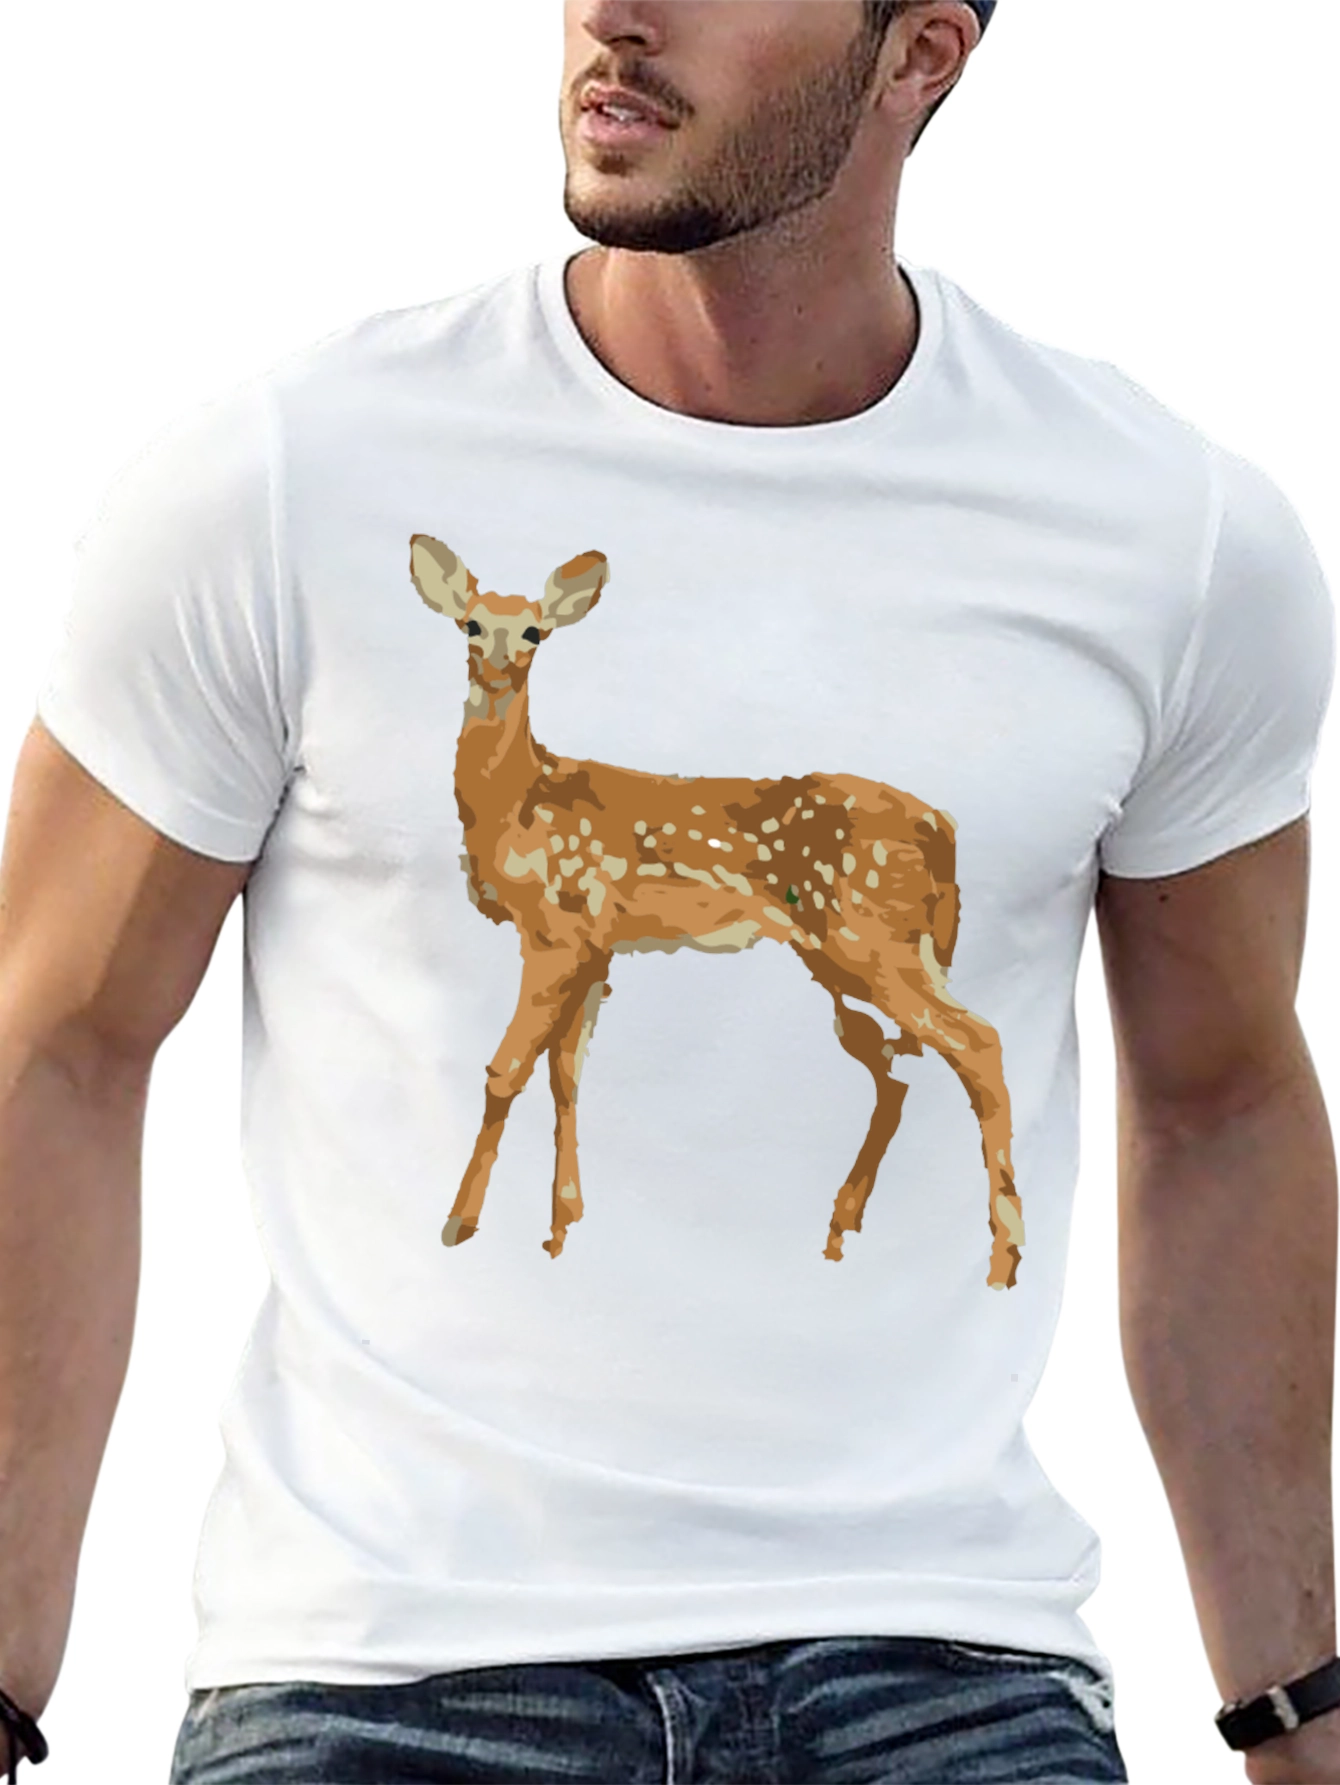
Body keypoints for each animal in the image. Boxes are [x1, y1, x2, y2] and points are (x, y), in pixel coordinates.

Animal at [408, 535, 1024, 1290]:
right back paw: (840, 1230)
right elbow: (566, 1074)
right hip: (841, 954)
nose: (497, 666)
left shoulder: (557, 927)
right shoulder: (596, 944)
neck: (516, 804)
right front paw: (561, 1227)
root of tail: (943, 827)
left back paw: (1002, 1259)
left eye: (534, 631)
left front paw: (460, 1223)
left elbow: (505, 1071)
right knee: (896, 1071)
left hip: (873, 935)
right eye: (470, 623)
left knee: (977, 1044)